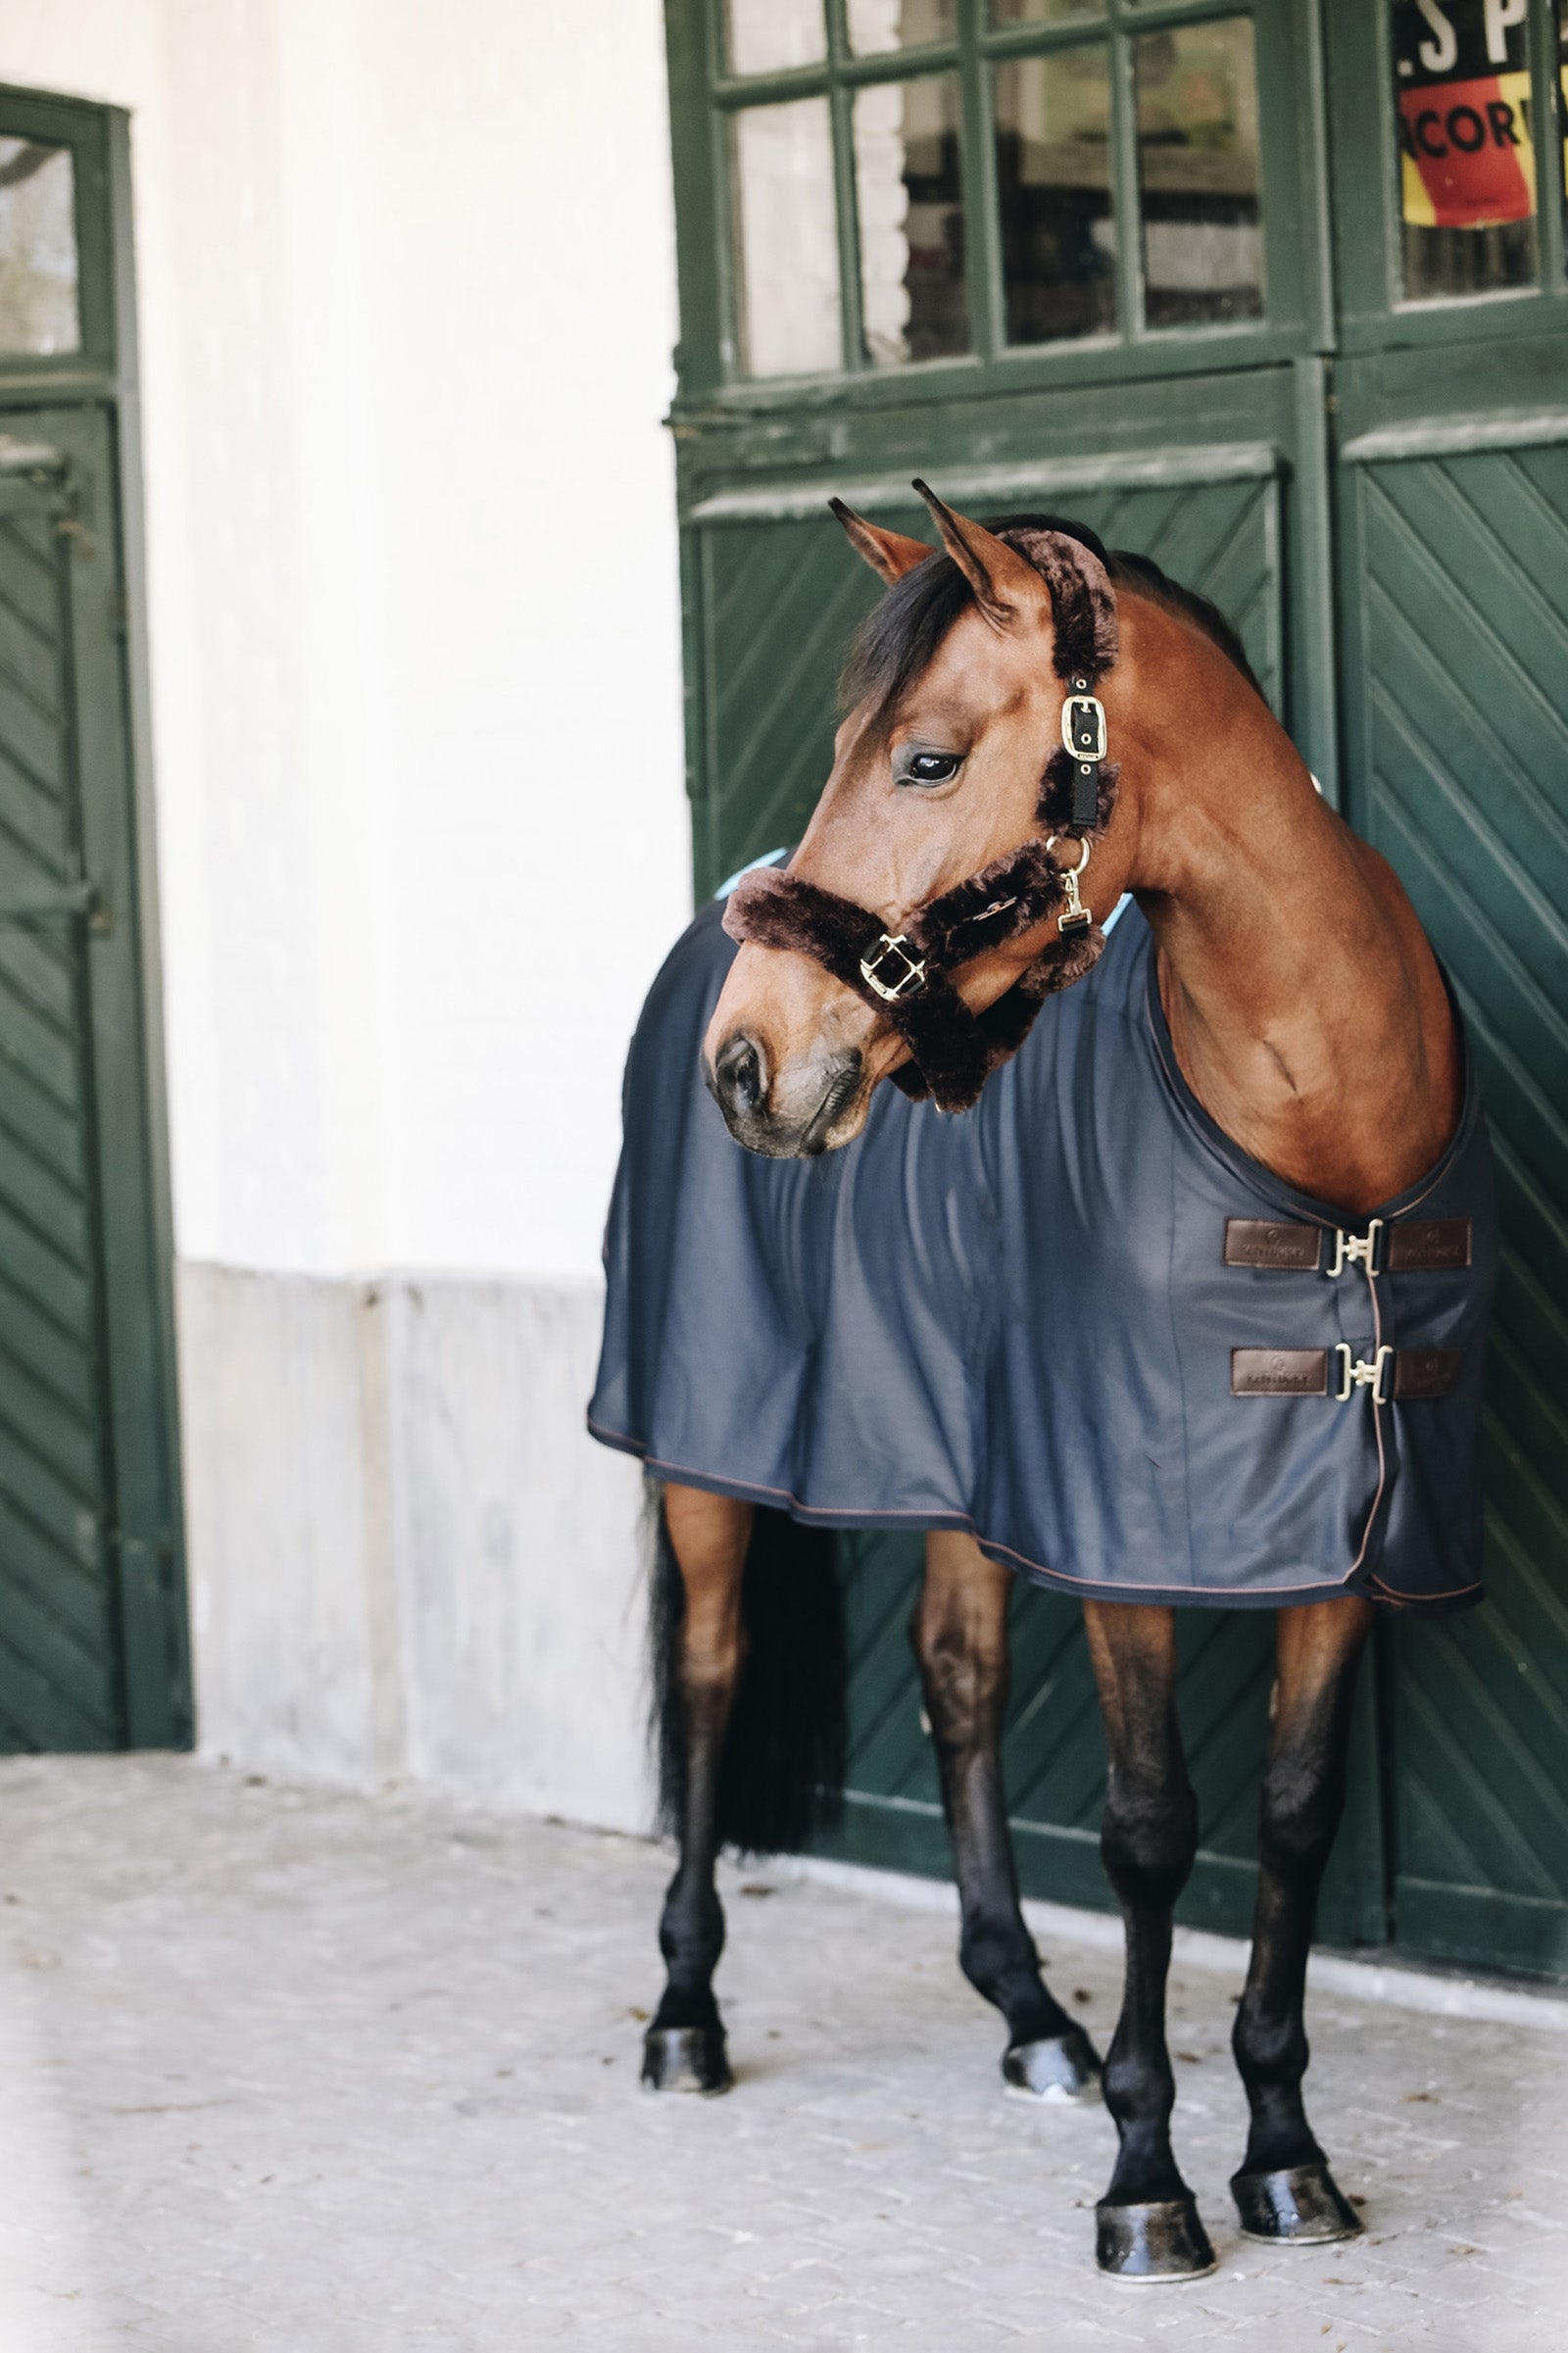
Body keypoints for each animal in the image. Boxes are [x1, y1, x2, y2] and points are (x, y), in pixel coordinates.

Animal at [680, 486, 1493, 2281]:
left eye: (921, 757)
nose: (749, 1063)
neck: (1320, 1140)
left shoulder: (1338, 1548)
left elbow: (1292, 1814)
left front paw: (1287, 2155)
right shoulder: (1131, 1546)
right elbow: (1148, 1830)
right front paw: (1147, 2179)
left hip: (955, 1471)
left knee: (961, 1679)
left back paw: (1027, 2015)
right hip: (697, 1465)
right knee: (708, 1676)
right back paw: (684, 2014)